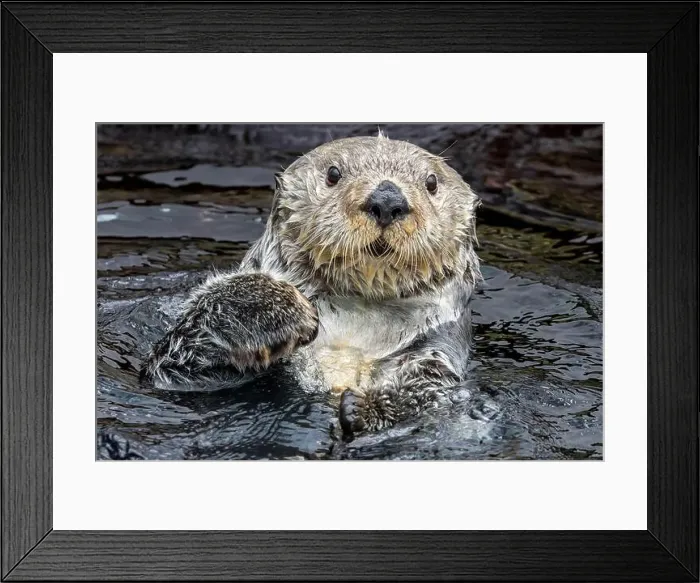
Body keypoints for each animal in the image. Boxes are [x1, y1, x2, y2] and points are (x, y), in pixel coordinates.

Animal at [142, 133, 481, 437]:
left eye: (431, 183)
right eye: (333, 174)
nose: (387, 199)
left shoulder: (437, 346)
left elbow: (428, 388)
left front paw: (365, 408)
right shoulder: (179, 371)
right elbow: (171, 362)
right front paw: (281, 308)